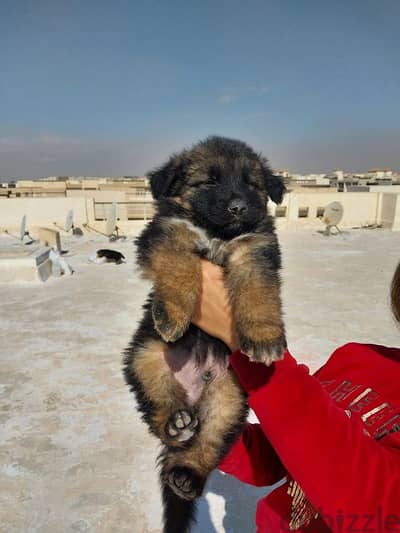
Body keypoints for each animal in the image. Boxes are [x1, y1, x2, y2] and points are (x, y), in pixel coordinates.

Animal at [123, 135, 286, 528]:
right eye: (209, 181)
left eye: (251, 183)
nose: (239, 207)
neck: (217, 234)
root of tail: (194, 396)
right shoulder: (168, 233)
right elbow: (179, 266)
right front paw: (173, 314)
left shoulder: (255, 250)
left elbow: (259, 292)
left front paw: (264, 337)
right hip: (144, 358)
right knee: (158, 409)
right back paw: (176, 424)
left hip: (230, 398)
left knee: (209, 443)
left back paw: (187, 475)